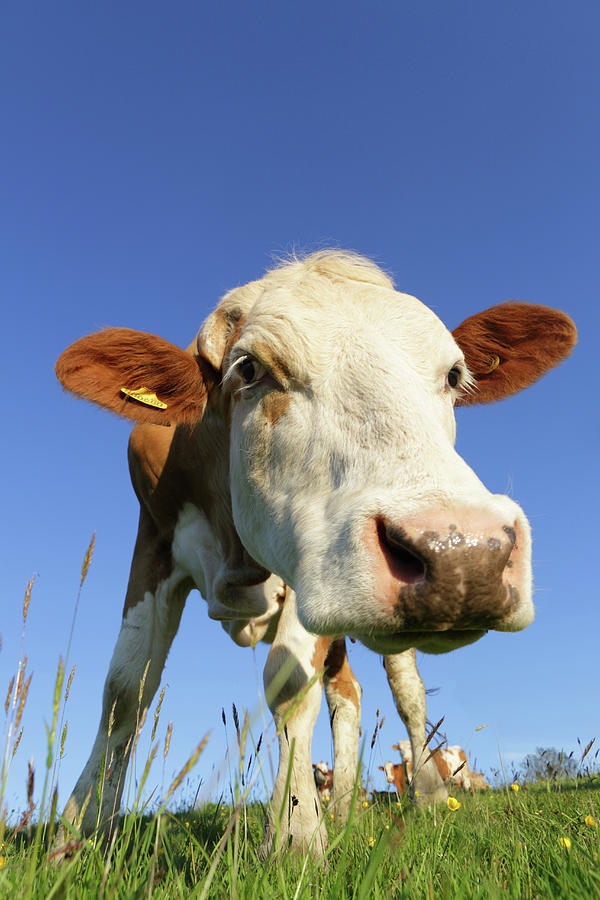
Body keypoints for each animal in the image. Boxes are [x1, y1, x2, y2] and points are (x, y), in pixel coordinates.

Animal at [55, 250, 576, 856]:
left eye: (454, 375)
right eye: (249, 369)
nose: (467, 553)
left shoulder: (308, 572)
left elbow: (287, 681)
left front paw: (294, 837)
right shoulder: (154, 539)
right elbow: (124, 689)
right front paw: (79, 833)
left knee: (406, 695)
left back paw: (424, 796)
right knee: (346, 693)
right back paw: (345, 808)